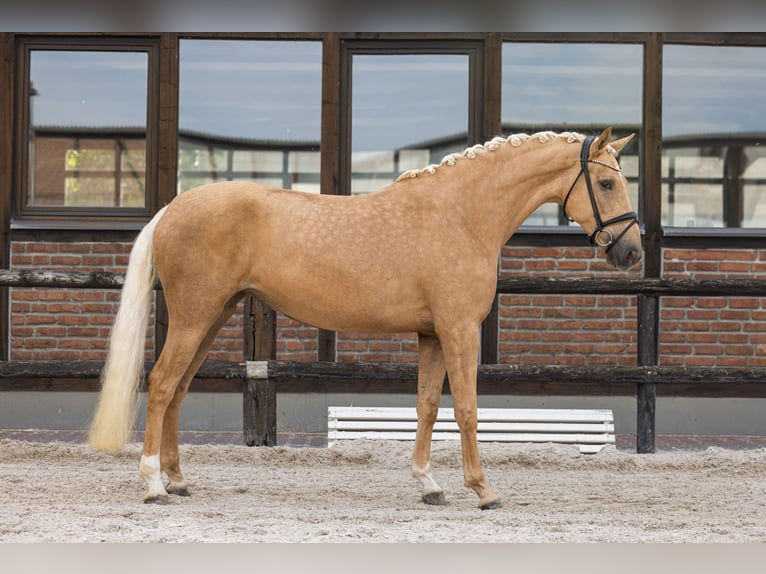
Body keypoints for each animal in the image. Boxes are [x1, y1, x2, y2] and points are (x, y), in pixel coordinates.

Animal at [88, 128, 640, 510]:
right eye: (607, 182)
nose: (631, 252)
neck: (460, 215)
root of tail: (172, 208)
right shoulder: (459, 331)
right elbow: (466, 409)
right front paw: (483, 490)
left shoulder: (431, 335)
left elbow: (426, 408)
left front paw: (428, 485)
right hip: (194, 316)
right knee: (162, 384)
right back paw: (154, 484)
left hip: (212, 315)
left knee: (178, 389)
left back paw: (179, 481)